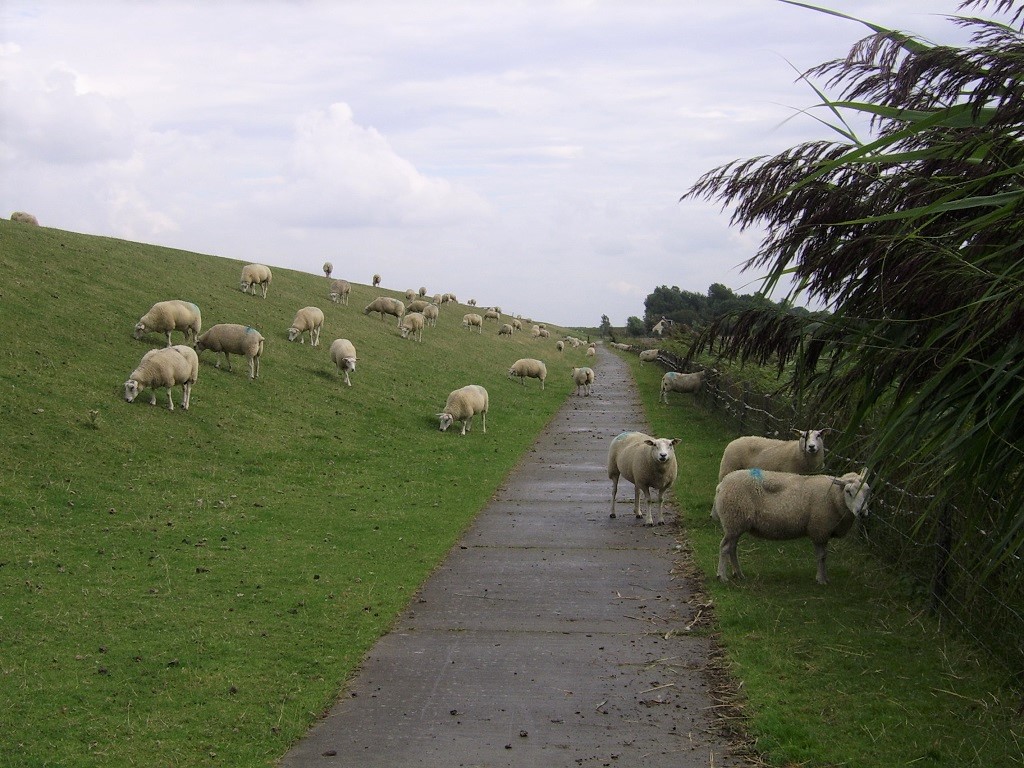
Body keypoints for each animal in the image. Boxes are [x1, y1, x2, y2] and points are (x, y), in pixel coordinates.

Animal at [712, 466, 872, 585]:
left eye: (868, 490)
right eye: (848, 491)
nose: (862, 512)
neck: (834, 498)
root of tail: (721, 485)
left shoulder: (822, 532)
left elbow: (823, 556)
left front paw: (824, 577)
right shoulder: (819, 530)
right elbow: (821, 556)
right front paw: (821, 579)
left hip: (736, 524)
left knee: (732, 548)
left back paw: (738, 574)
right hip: (734, 519)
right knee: (725, 547)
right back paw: (722, 576)